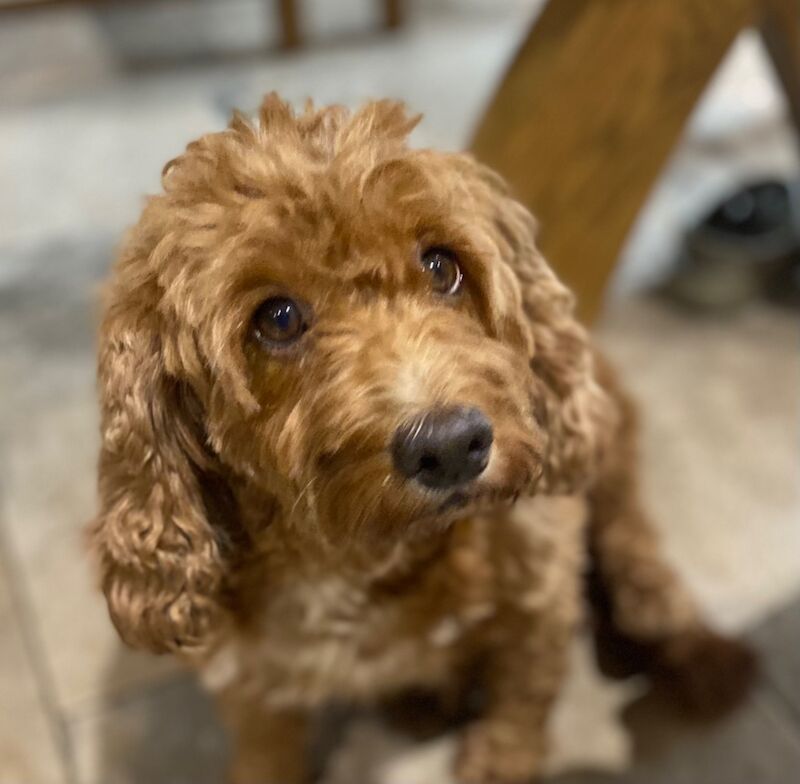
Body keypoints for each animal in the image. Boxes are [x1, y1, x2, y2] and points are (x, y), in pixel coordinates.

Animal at [89, 93, 756, 784]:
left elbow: (524, 693)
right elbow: (266, 749)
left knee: (634, 546)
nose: (453, 446)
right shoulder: (246, 676)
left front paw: (501, 759)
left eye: (441, 265)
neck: (362, 558)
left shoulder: (541, 584)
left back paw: (695, 648)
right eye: (277, 318)